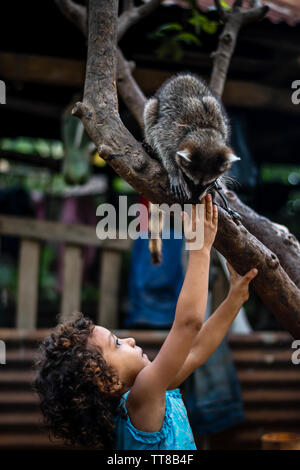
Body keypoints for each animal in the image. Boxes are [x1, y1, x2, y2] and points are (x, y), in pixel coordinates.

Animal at [143, 73, 239, 202]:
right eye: (189, 180)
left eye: (208, 183)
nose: (195, 201)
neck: (203, 130)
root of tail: (184, 76)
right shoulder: (171, 128)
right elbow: (161, 141)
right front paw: (173, 170)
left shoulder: (222, 129)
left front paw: (218, 181)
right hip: (154, 107)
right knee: (150, 114)